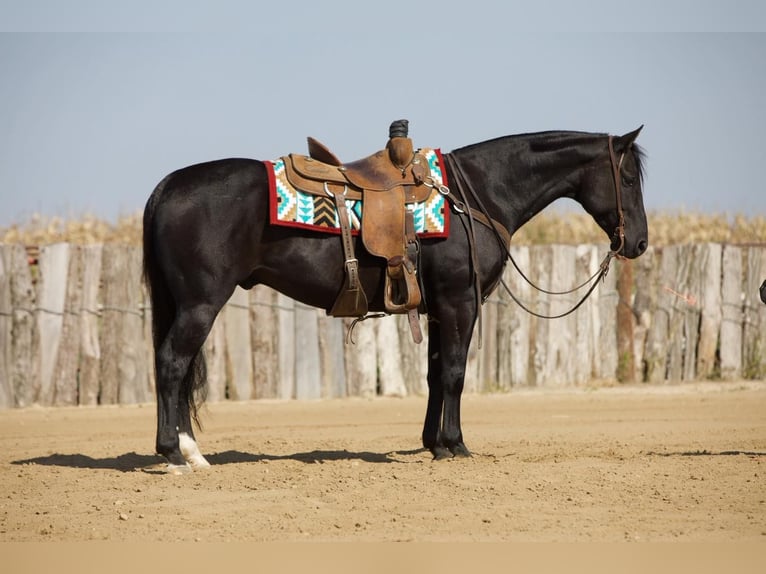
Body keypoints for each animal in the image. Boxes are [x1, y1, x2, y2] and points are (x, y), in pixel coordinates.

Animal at [143, 126, 648, 473]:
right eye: (627, 178)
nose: (639, 243)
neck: (478, 194)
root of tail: (168, 185)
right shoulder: (460, 303)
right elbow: (455, 373)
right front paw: (456, 443)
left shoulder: (439, 309)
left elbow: (435, 374)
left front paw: (434, 443)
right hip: (200, 304)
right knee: (171, 364)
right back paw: (175, 453)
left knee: (176, 368)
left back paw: (189, 450)